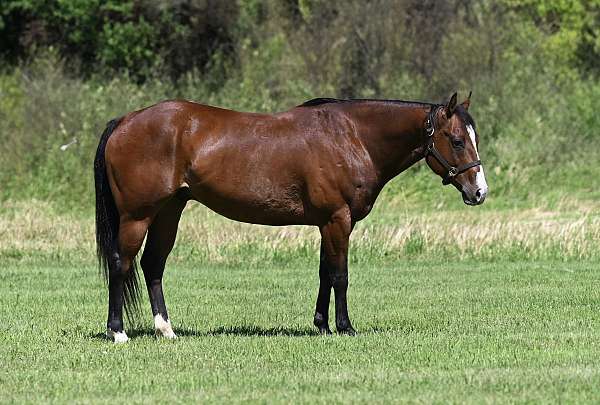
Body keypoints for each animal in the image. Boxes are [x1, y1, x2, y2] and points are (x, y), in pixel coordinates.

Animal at [95, 90, 488, 340]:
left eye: (474, 137)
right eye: (456, 140)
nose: (479, 192)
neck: (351, 137)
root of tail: (125, 120)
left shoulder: (326, 223)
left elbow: (325, 274)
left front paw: (322, 324)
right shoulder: (338, 220)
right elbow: (341, 275)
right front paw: (345, 327)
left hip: (168, 212)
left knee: (153, 265)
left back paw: (166, 330)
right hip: (137, 215)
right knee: (121, 264)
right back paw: (118, 332)